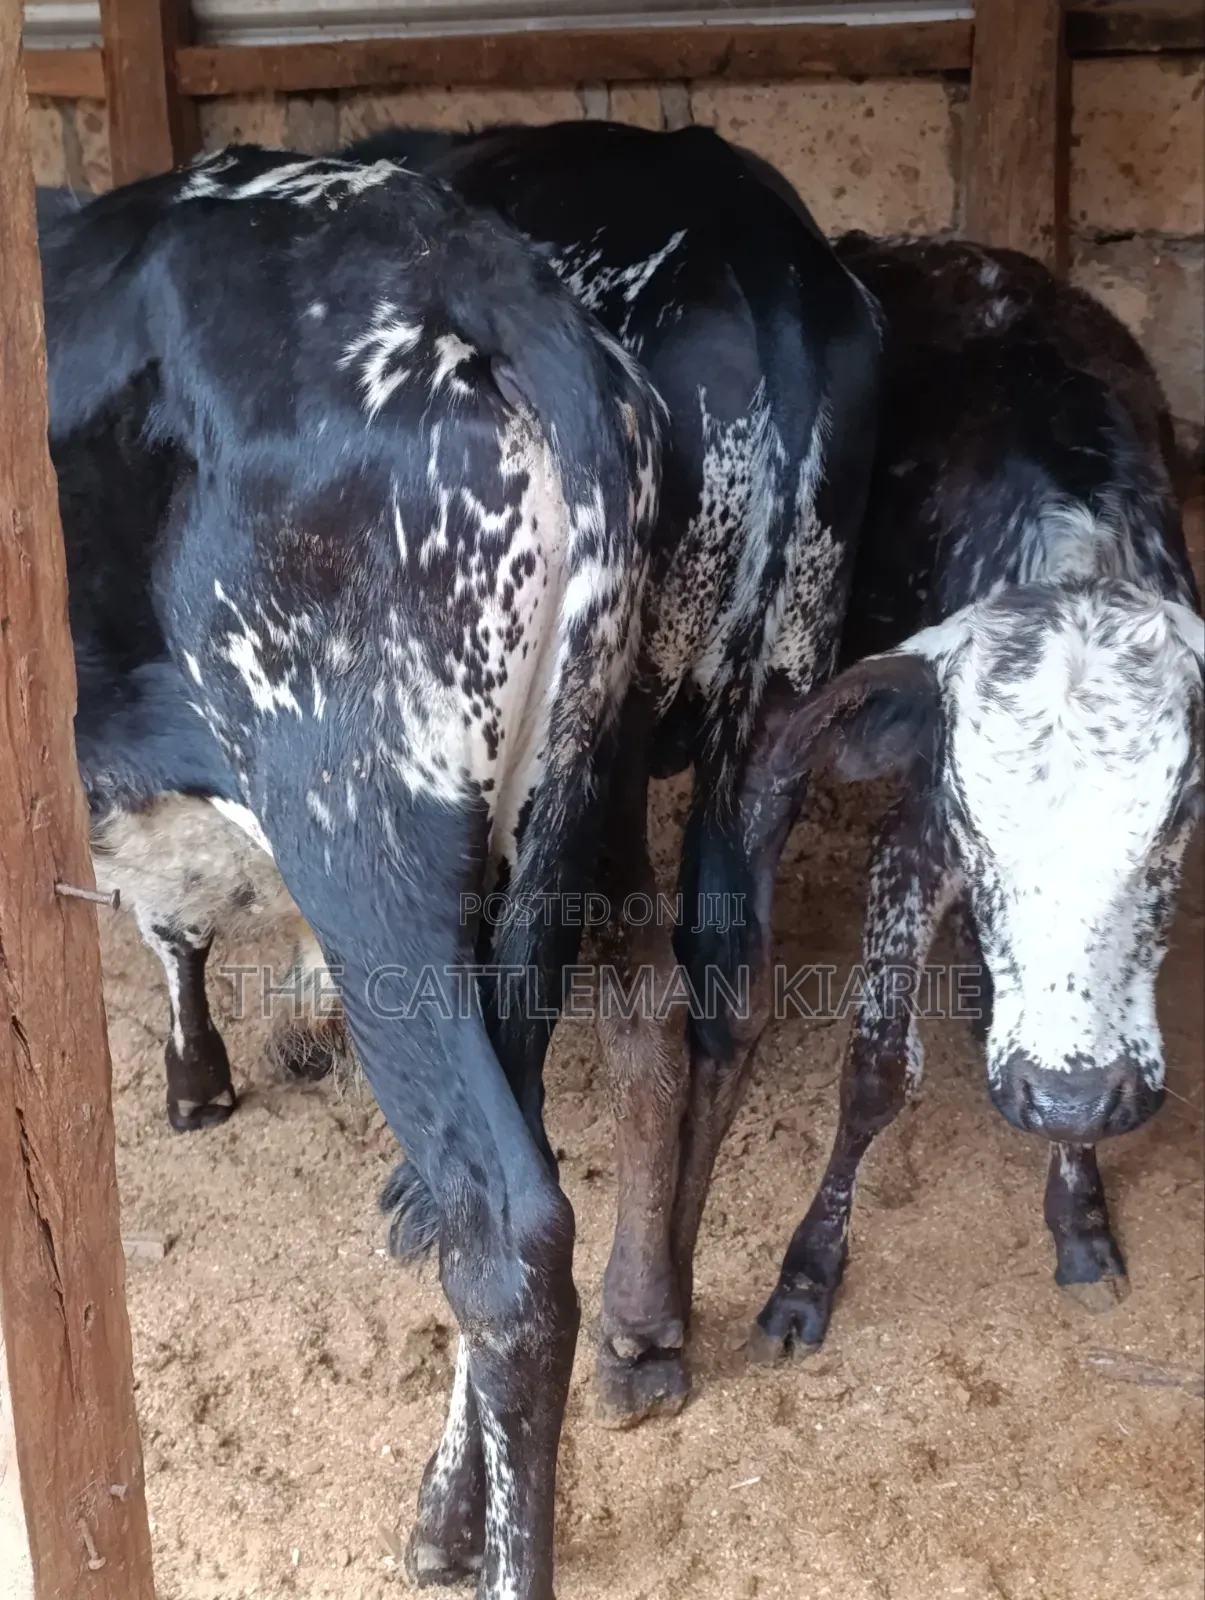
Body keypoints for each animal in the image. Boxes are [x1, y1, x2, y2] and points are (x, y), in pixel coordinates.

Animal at [344, 120, 882, 1426]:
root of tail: (773, 270)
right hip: (774, 696)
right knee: (726, 992)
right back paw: (664, 1308)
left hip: (616, 722)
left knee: (643, 997)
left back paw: (635, 1314)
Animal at [716, 236, 1201, 1360]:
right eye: (978, 826)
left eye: (1174, 815)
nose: (1064, 1085)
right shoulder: (912, 843)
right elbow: (872, 1073)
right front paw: (805, 1275)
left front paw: (1079, 1220)